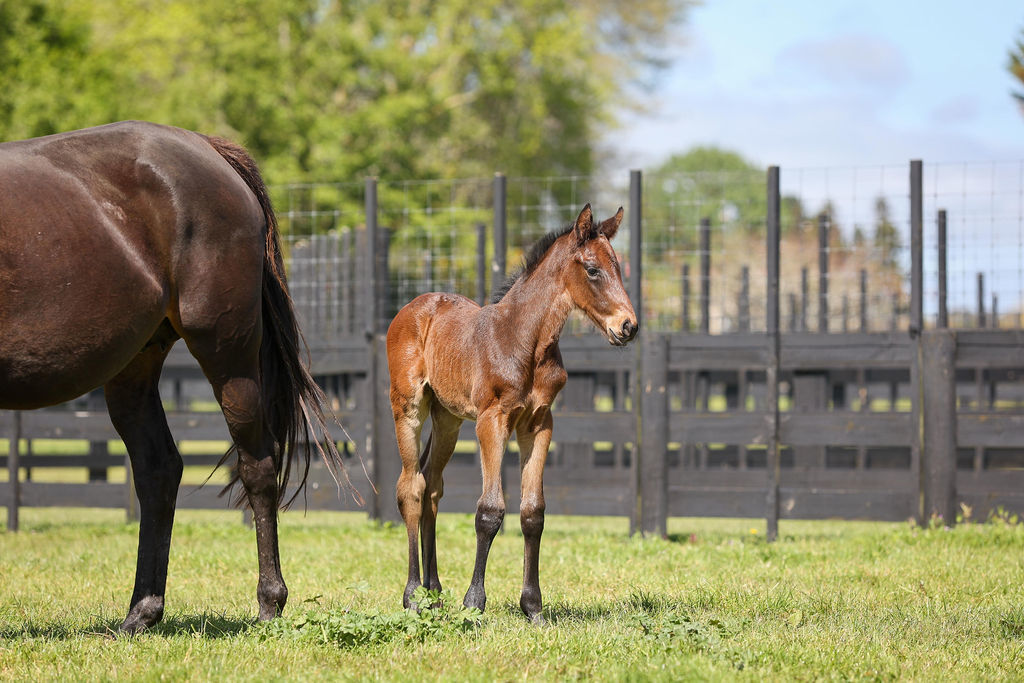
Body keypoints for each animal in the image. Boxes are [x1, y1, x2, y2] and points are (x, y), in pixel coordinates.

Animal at [0, 120, 346, 634]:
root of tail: (207, 147)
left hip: (227, 355)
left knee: (257, 468)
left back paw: (269, 603)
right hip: (134, 368)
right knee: (158, 470)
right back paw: (141, 612)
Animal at [385, 204, 634, 626]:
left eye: (617, 266)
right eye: (592, 269)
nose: (628, 326)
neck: (524, 340)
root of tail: (413, 307)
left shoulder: (539, 424)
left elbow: (533, 512)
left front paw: (532, 607)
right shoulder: (493, 420)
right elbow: (489, 510)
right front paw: (474, 603)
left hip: (448, 418)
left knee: (433, 485)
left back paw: (435, 593)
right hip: (408, 407)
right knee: (411, 488)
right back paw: (414, 595)